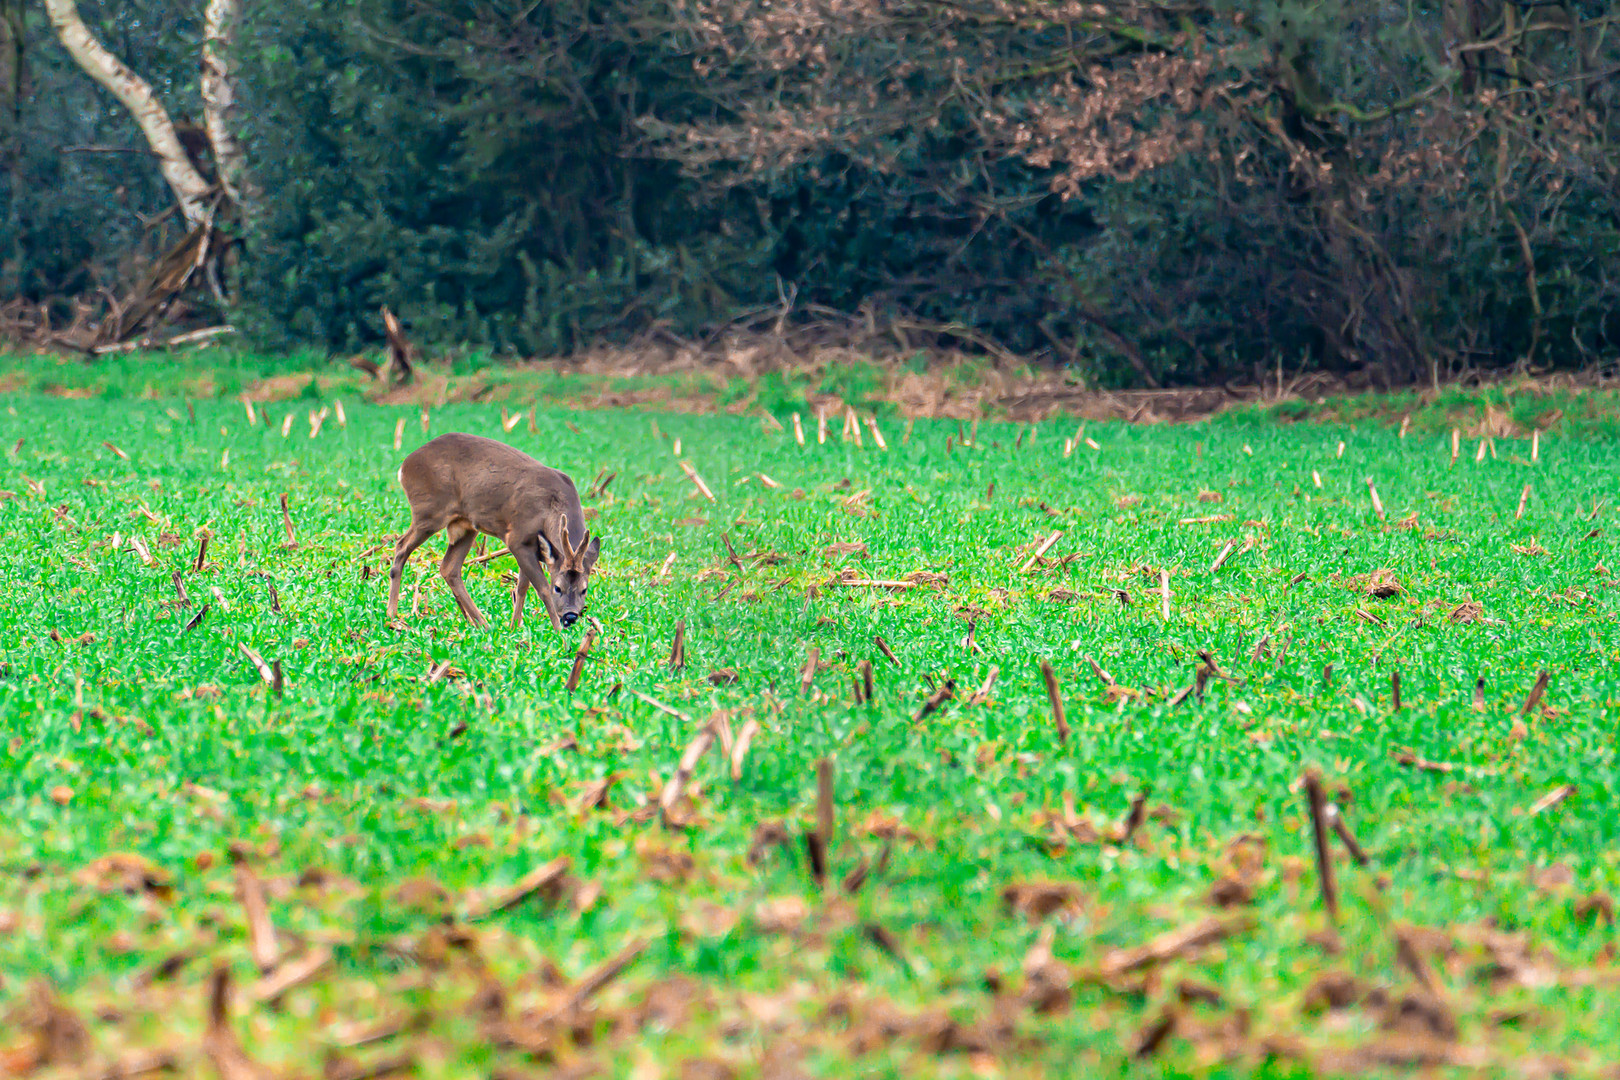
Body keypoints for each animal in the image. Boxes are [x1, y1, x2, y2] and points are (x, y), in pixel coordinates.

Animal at [387, 433, 602, 634]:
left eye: (584, 589)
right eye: (558, 587)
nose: (570, 616)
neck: (551, 508)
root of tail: (404, 466)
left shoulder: (533, 547)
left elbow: (522, 587)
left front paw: (514, 627)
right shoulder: (517, 537)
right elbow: (541, 588)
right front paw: (557, 630)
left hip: (465, 526)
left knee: (449, 568)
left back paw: (482, 623)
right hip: (429, 511)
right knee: (401, 546)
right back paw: (392, 615)